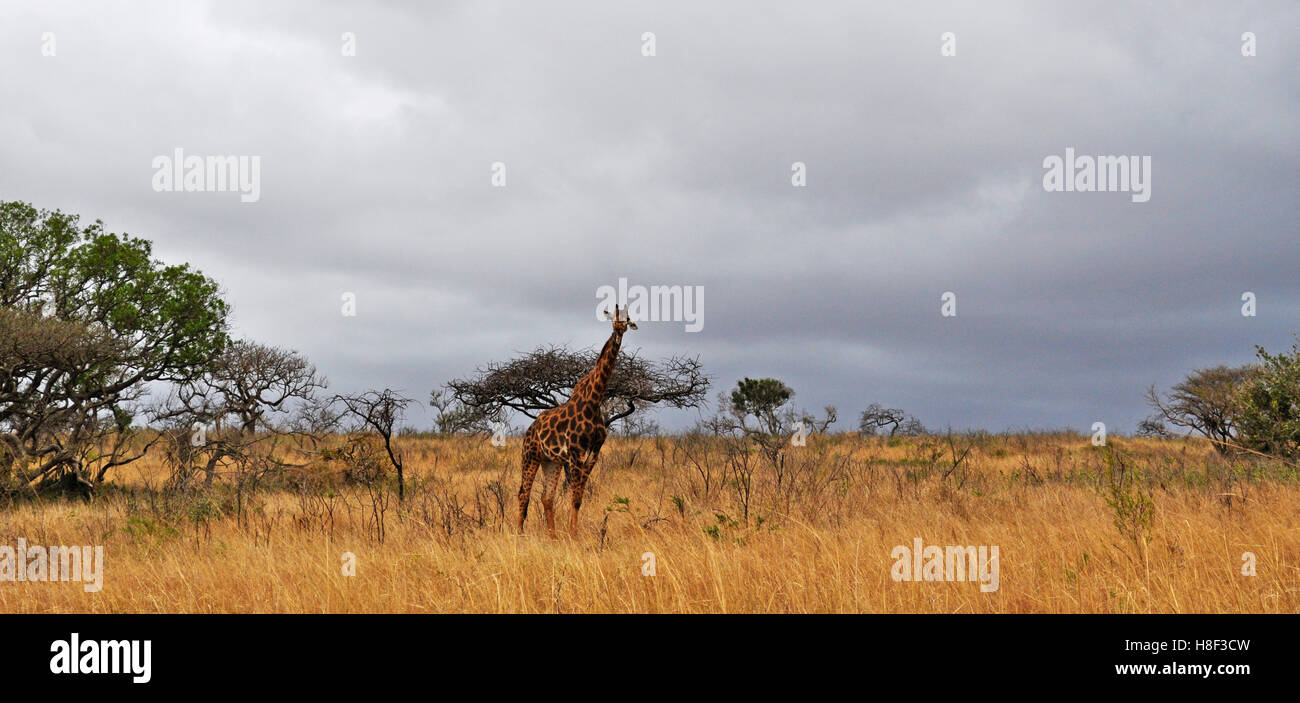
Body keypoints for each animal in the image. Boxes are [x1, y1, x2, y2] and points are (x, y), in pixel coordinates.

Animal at [517, 302, 639, 537]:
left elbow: (578, 498)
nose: (620, 328)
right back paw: (518, 535)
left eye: (628, 318)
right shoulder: (575, 453)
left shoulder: (593, 453)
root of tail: (529, 430)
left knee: (546, 497)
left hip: (551, 461)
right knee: (523, 494)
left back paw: (553, 536)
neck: (594, 400)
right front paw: (574, 536)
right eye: (613, 316)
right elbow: (574, 496)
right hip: (530, 456)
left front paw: (572, 534)